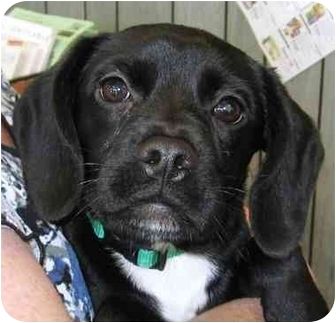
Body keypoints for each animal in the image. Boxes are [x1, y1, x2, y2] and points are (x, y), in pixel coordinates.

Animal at [13, 24, 328, 322]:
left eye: (229, 108)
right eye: (114, 89)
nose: (168, 157)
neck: (167, 258)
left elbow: (280, 263)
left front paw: (294, 303)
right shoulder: (114, 302)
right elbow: (120, 308)